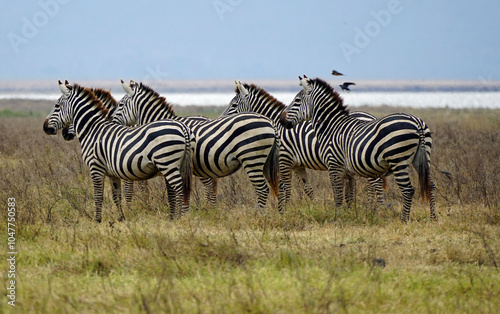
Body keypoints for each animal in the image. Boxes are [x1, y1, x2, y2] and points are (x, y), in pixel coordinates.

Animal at [43, 82, 193, 222]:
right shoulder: (112, 173)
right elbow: (117, 196)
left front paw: (97, 220)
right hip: (175, 165)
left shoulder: (96, 168)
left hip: (167, 162)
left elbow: (98, 196)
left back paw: (180, 217)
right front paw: (122, 218)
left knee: (179, 188)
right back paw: (176, 217)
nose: (45, 127)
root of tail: (182, 127)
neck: (92, 130)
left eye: (57, 106)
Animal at [110, 79, 282, 210]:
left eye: (120, 104)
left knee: (262, 188)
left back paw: (259, 215)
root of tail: (270, 123)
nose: (111, 121)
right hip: (265, 162)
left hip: (252, 158)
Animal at [224, 81, 386, 211]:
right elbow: (308, 189)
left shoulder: (284, 160)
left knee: (376, 184)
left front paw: (284, 211)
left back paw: (376, 209)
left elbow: (285, 189)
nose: (221, 120)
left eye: (234, 105)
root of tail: (371, 117)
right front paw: (314, 206)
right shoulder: (297, 165)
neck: (276, 125)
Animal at [282, 76, 438, 223]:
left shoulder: (333, 165)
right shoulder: (346, 170)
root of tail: (417, 122)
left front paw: (337, 217)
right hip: (422, 159)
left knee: (408, 190)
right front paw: (348, 214)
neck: (330, 127)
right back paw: (433, 218)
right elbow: (348, 194)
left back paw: (404, 220)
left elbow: (338, 194)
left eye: (297, 100)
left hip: (398, 160)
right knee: (430, 185)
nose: (283, 121)